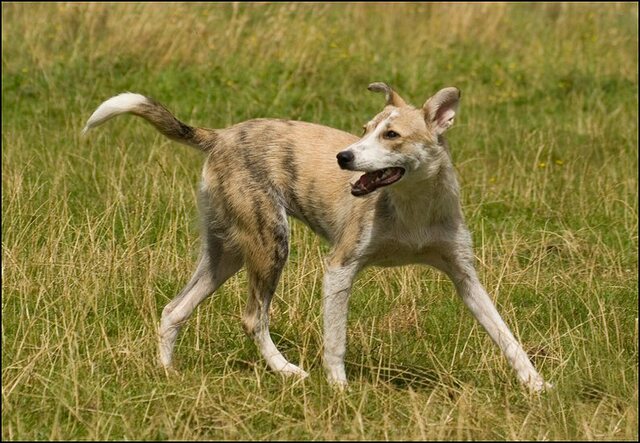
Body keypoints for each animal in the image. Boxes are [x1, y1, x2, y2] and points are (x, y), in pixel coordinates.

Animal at [82, 82, 552, 392]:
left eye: (391, 135)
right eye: (364, 129)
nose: (343, 157)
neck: (412, 207)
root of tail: (221, 136)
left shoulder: (465, 277)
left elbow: (505, 334)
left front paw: (536, 384)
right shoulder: (340, 268)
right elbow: (335, 341)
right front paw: (340, 390)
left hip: (227, 253)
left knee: (173, 310)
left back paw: (167, 373)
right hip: (271, 243)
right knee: (253, 317)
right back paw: (286, 370)